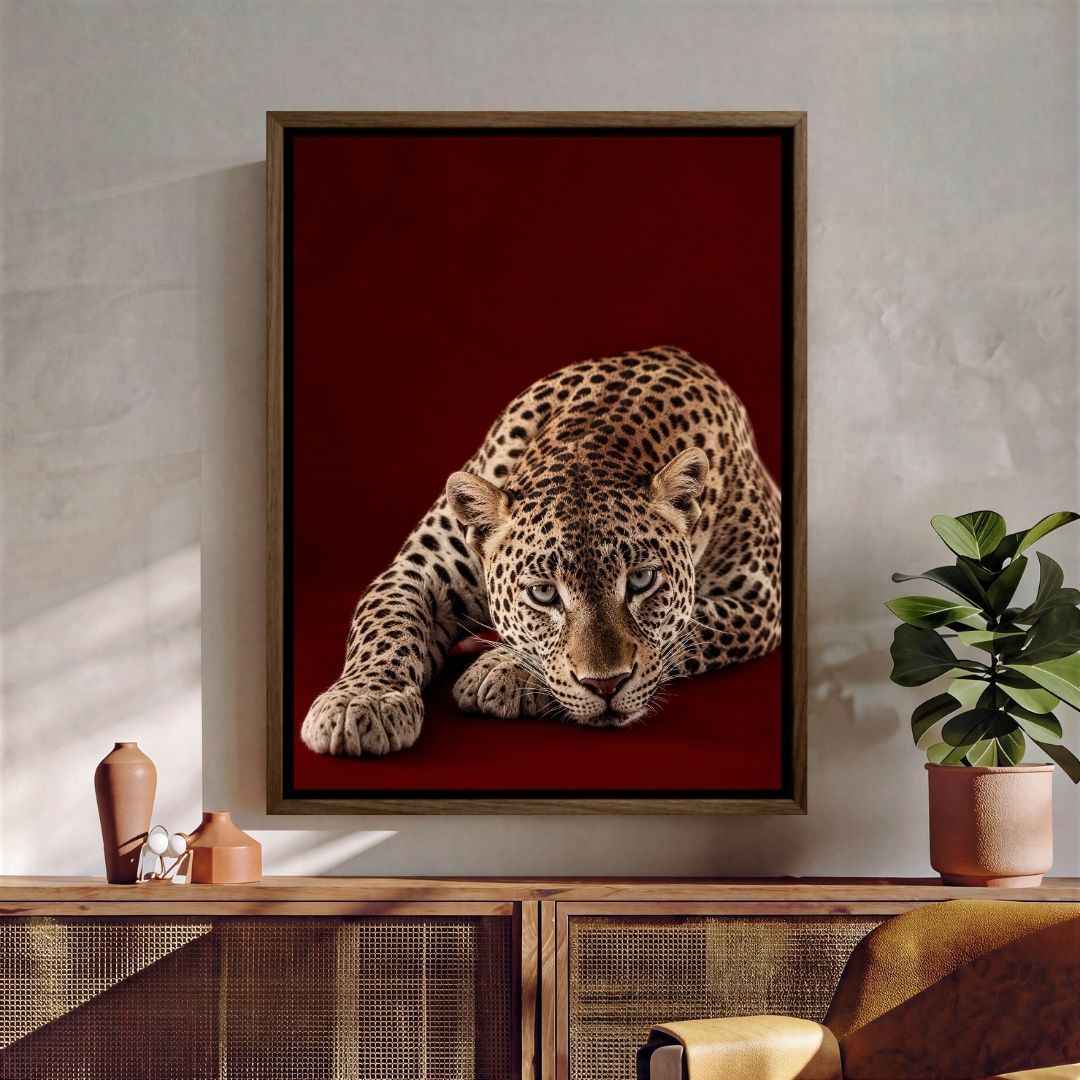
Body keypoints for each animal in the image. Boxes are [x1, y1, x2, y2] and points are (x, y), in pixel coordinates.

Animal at [301, 346, 781, 757]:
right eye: (544, 594)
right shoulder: (419, 572)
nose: (607, 686)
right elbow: (384, 623)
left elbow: (688, 628)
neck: (594, 441)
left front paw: (500, 670)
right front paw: (361, 703)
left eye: (642, 580)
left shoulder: (760, 599)